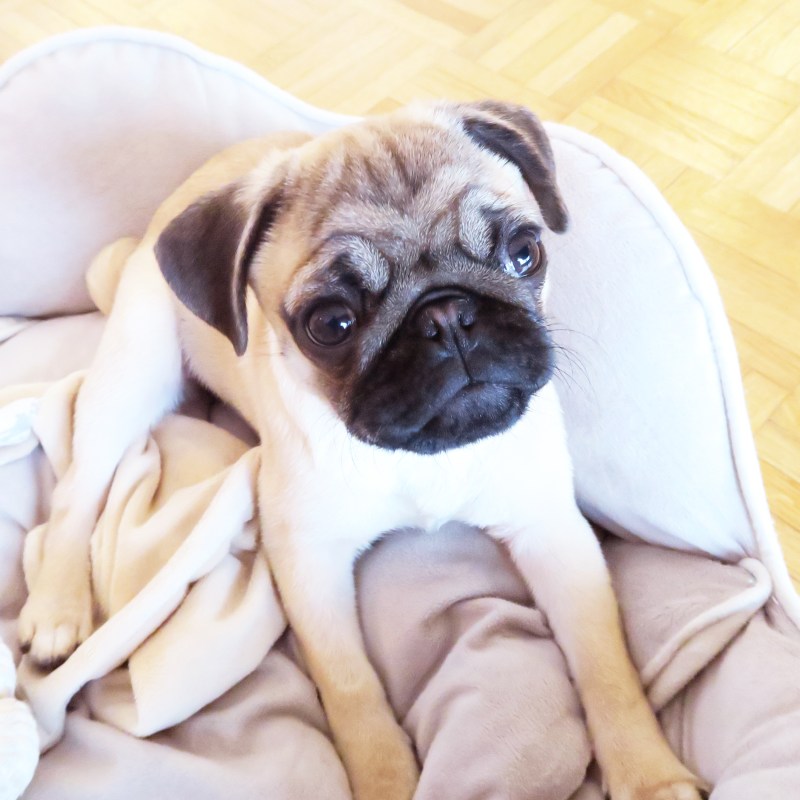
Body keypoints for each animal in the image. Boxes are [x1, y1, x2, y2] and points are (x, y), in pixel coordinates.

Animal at [19, 101, 706, 800]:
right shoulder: (310, 560)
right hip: (133, 377)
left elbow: (604, 656)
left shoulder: (550, 529)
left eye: (524, 253)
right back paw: (56, 611)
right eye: (331, 324)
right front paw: (386, 776)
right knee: (79, 491)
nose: (447, 316)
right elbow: (351, 686)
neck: (423, 456)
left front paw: (647, 773)